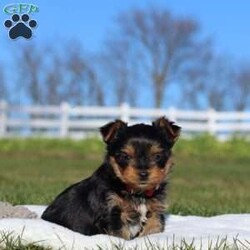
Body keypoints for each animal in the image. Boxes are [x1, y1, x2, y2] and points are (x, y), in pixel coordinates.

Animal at [42, 117, 180, 240]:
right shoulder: (111, 212)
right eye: (125, 156)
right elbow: (119, 235)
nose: (143, 173)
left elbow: (153, 229)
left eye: (157, 156)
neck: (138, 193)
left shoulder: (155, 212)